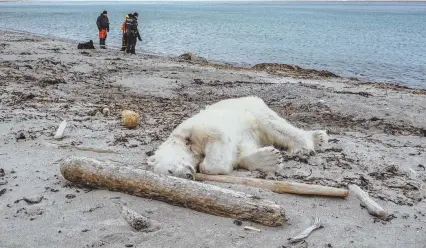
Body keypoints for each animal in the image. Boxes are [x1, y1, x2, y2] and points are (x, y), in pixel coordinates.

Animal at [148, 96, 328, 179]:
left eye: (170, 170)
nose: (188, 175)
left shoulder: (196, 130)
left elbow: (217, 143)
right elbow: (241, 151)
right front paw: (270, 159)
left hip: (253, 109)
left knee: (274, 125)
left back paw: (309, 144)